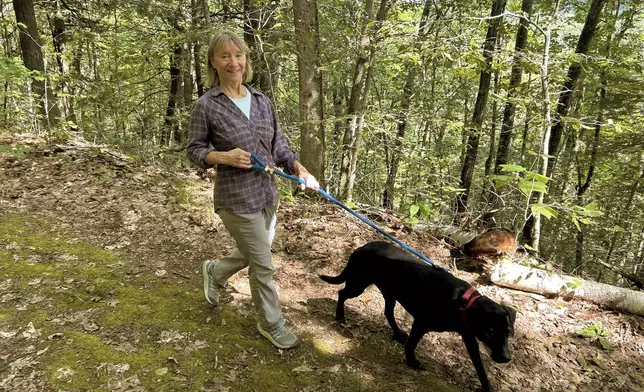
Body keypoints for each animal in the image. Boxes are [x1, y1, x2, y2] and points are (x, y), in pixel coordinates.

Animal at [320, 242, 516, 392]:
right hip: (359, 284)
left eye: (508, 332)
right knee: (342, 293)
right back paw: (340, 316)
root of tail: (362, 247)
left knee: (388, 312)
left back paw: (398, 333)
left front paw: (487, 387)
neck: (462, 302)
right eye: (490, 331)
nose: (507, 358)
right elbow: (412, 344)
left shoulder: (469, 337)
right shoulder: (421, 323)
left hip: (390, 292)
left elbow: (479, 366)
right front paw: (411, 361)